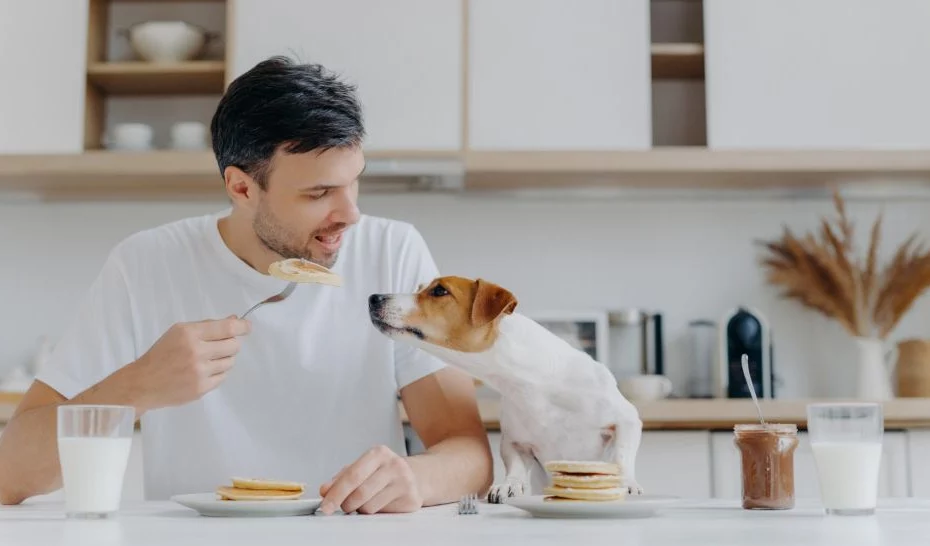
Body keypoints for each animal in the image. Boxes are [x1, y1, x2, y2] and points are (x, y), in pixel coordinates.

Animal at [366, 276, 640, 502]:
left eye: (440, 290)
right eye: (419, 288)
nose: (373, 297)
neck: (530, 382)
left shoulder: (627, 420)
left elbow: (622, 456)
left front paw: (627, 483)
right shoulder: (514, 442)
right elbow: (515, 466)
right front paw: (509, 485)